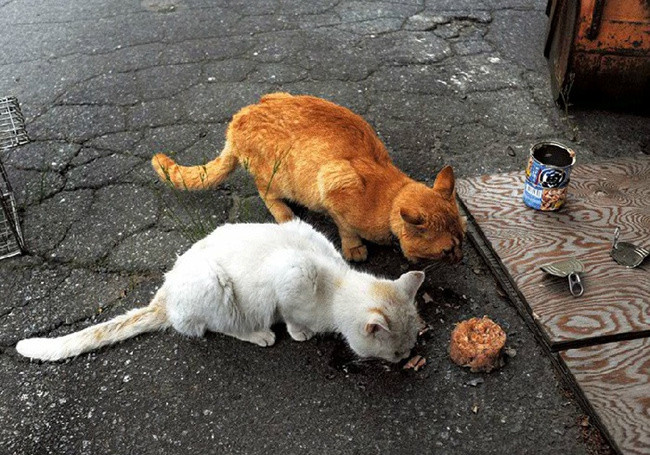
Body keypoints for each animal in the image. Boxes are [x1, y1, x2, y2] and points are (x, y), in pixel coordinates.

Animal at [16, 221, 426, 364]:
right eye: (396, 351)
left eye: (410, 346)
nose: (406, 359)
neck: (337, 282)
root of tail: (164, 293)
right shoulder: (290, 279)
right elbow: (291, 315)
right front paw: (300, 332)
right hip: (214, 285)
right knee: (212, 327)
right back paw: (259, 333)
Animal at [152, 93, 464, 264]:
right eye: (447, 250)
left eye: (463, 238)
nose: (460, 259)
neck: (386, 196)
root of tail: (238, 119)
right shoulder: (333, 181)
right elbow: (346, 227)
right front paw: (354, 247)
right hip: (277, 176)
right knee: (265, 193)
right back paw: (285, 214)